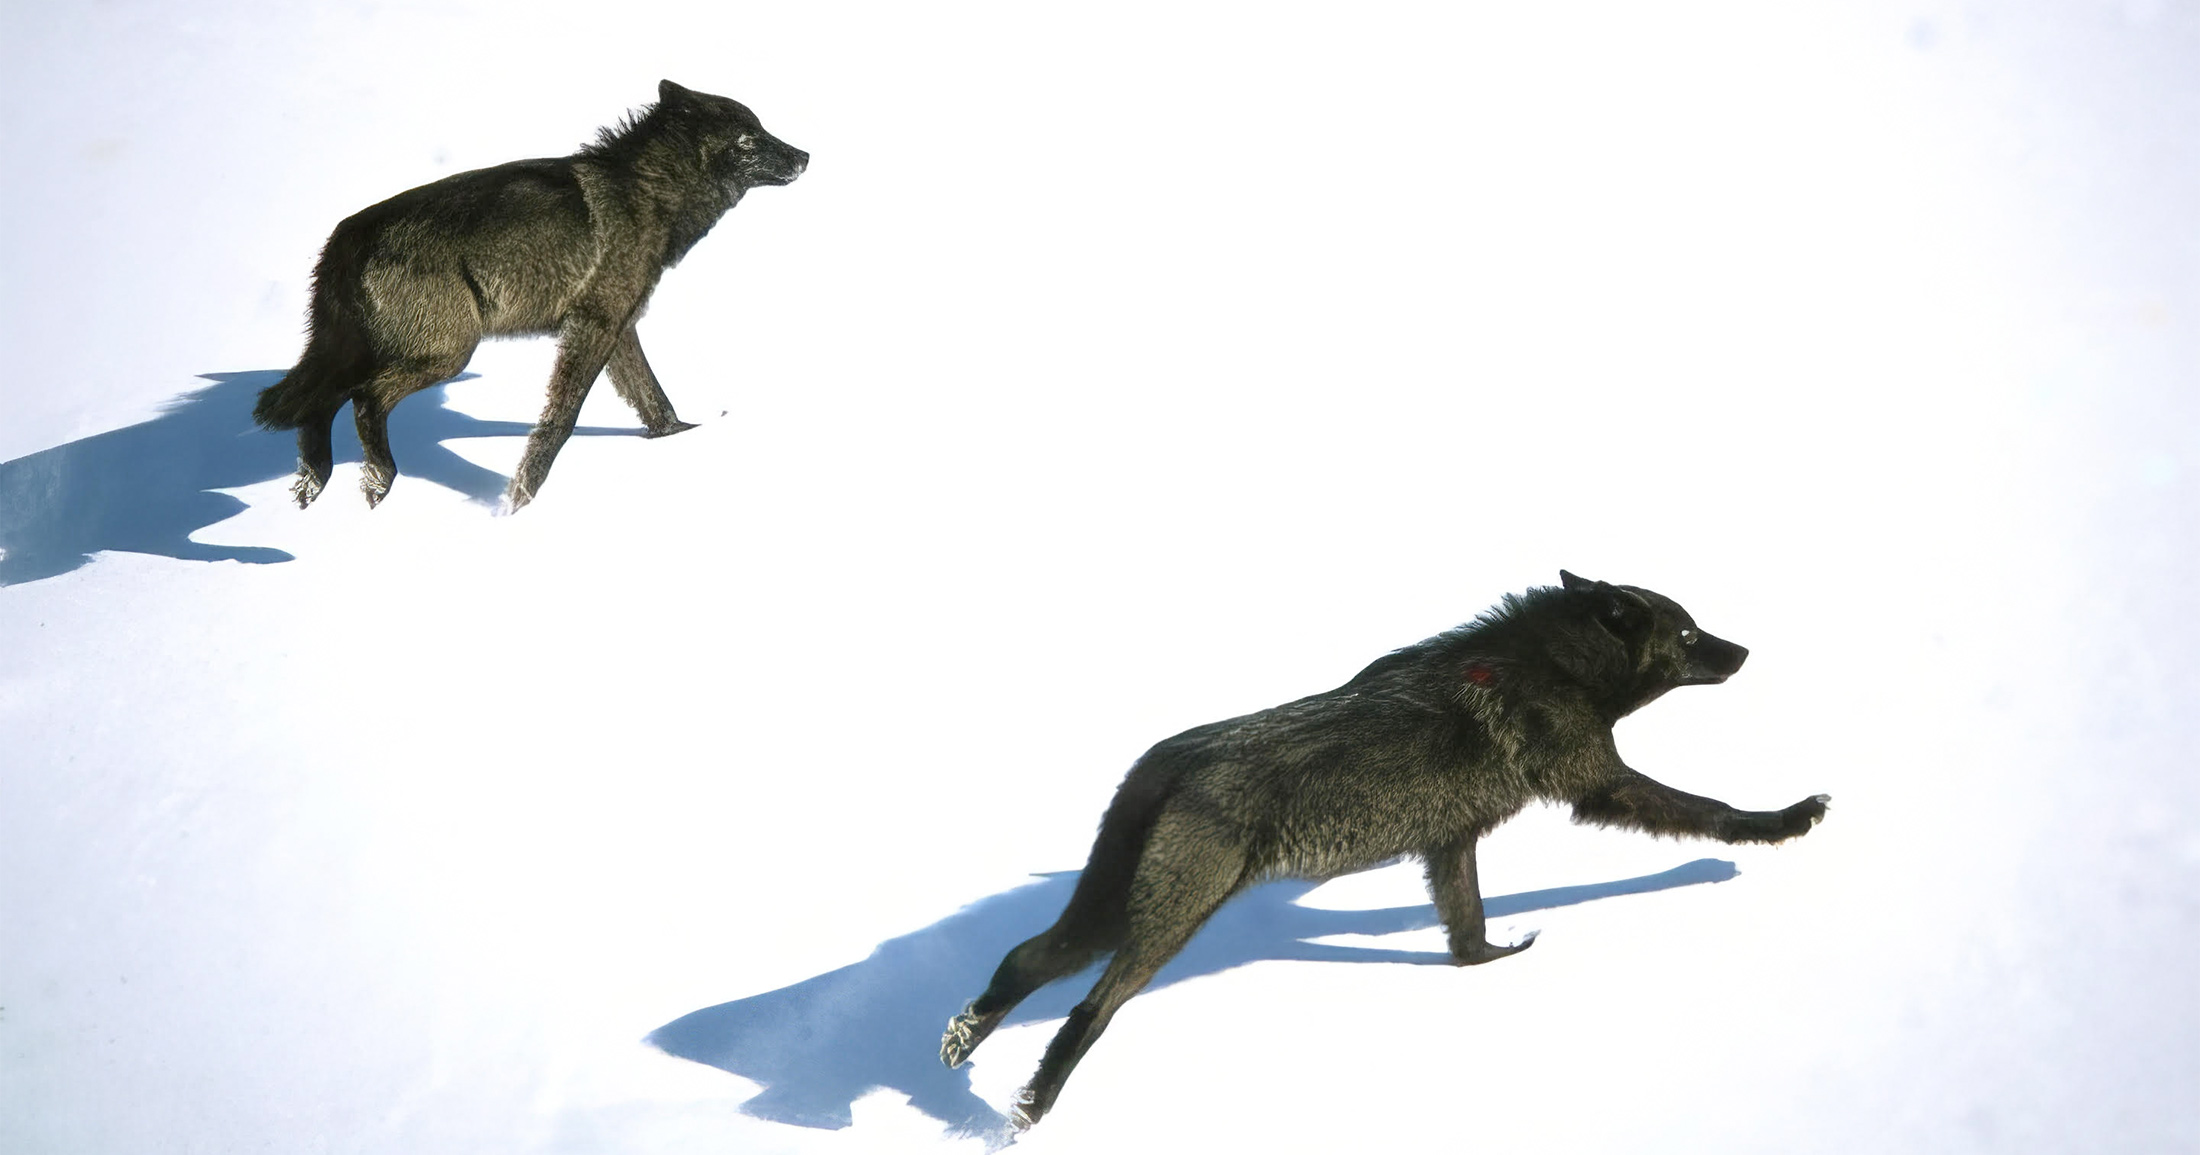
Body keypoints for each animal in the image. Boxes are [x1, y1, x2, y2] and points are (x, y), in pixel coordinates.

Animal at [252, 80, 806, 510]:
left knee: (310, 405)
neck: (649, 193)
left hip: (369, 352)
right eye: (749, 137)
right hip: (446, 354)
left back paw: (310, 491)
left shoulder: (618, 326)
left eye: (762, 127)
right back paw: (377, 485)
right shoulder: (594, 327)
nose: (805, 156)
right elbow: (561, 420)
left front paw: (681, 438)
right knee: (362, 399)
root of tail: (344, 236)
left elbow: (655, 402)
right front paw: (518, 499)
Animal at [940, 571, 1829, 1128]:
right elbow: (1709, 808)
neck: (1553, 665)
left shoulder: (1451, 842)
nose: (1744, 651)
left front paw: (1488, 963)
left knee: (1023, 957)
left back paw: (962, 1043)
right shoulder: (1601, 785)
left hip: (1107, 908)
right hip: (1165, 920)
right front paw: (1782, 822)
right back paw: (1029, 1110)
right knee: (1089, 1007)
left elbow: (1467, 928)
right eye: (1688, 630)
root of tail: (1171, 760)